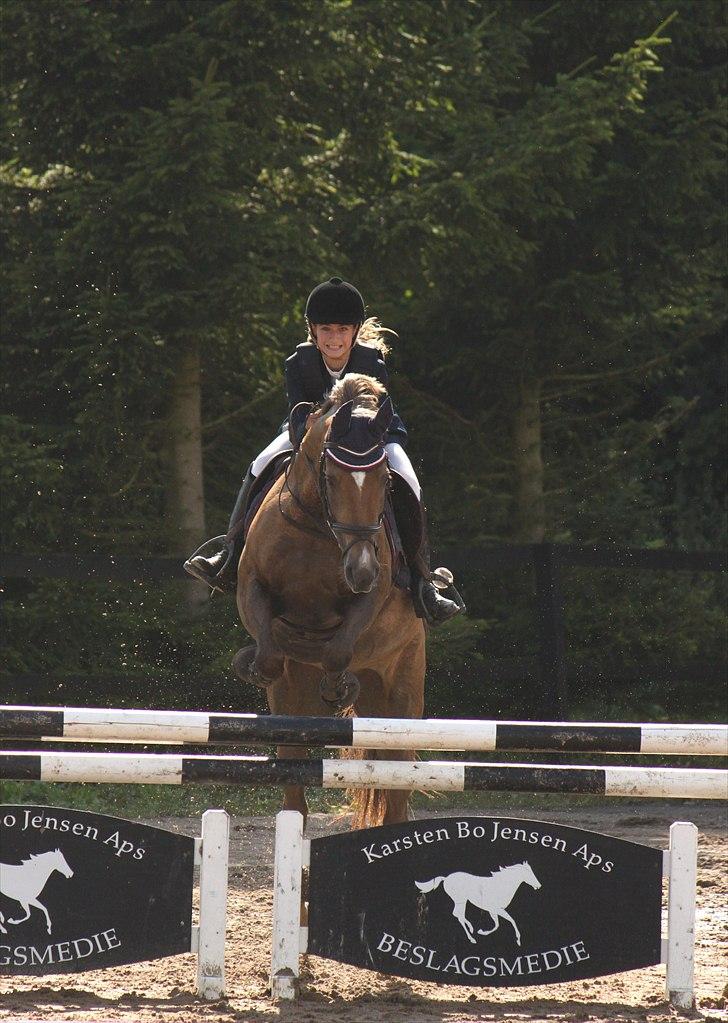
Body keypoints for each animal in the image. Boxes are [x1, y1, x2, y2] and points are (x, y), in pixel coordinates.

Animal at [233, 376, 427, 830]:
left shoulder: (370, 599)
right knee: (294, 780)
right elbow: (270, 652)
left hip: (403, 693)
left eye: (386, 482)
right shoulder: (251, 586)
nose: (362, 570)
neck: (316, 527)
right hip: (299, 706)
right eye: (333, 478)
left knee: (396, 786)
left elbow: (339, 649)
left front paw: (338, 686)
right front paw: (253, 663)